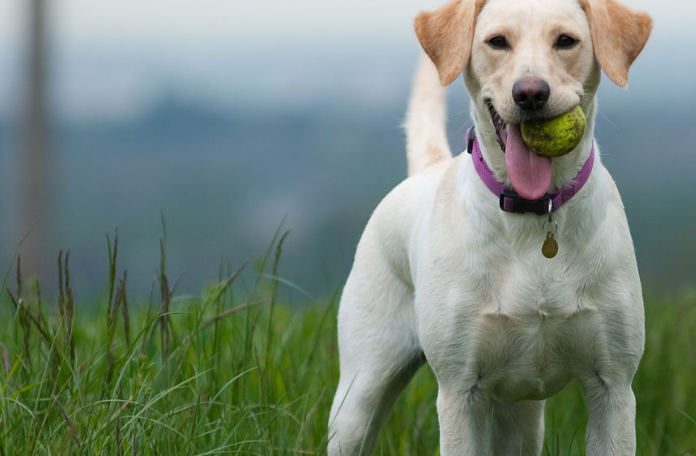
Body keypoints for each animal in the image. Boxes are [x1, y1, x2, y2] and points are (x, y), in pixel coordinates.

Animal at [328, 0, 648, 452]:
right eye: (497, 41)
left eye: (565, 40)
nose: (530, 93)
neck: (533, 214)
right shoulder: (460, 392)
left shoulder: (614, 387)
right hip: (360, 394)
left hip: (522, 418)